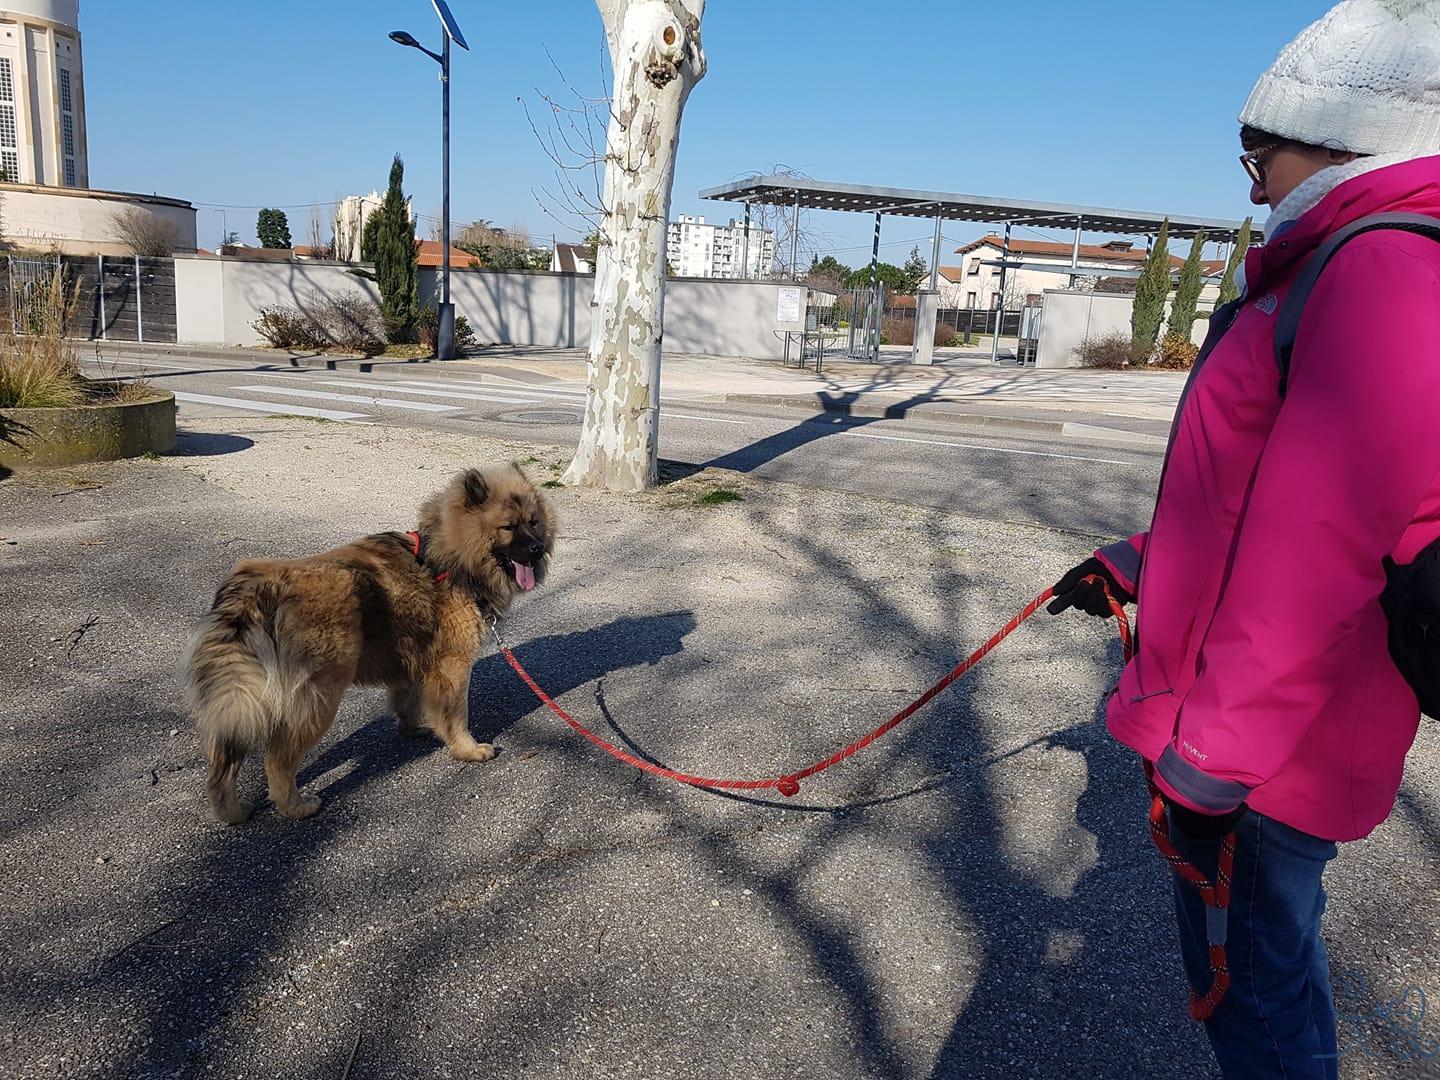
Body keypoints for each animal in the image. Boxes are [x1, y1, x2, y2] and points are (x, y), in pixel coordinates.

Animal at [182, 466, 552, 829]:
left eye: (534, 522)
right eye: (509, 527)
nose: (537, 548)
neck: (448, 559)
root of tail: (258, 588)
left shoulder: (414, 662)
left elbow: (409, 701)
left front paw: (412, 730)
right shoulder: (452, 667)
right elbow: (455, 715)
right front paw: (468, 750)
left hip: (240, 701)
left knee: (222, 768)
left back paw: (232, 813)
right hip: (317, 700)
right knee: (277, 761)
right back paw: (296, 807)